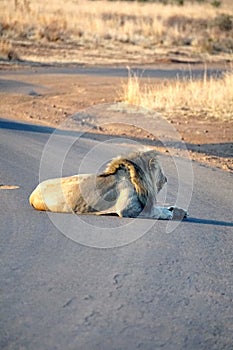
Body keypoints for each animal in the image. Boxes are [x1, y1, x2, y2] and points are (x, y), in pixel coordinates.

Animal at [30, 149, 188, 220]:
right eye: (161, 171)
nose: (166, 179)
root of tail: (32, 194)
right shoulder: (127, 209)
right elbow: (156, 211)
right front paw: (173, 213)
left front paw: (178, 210)